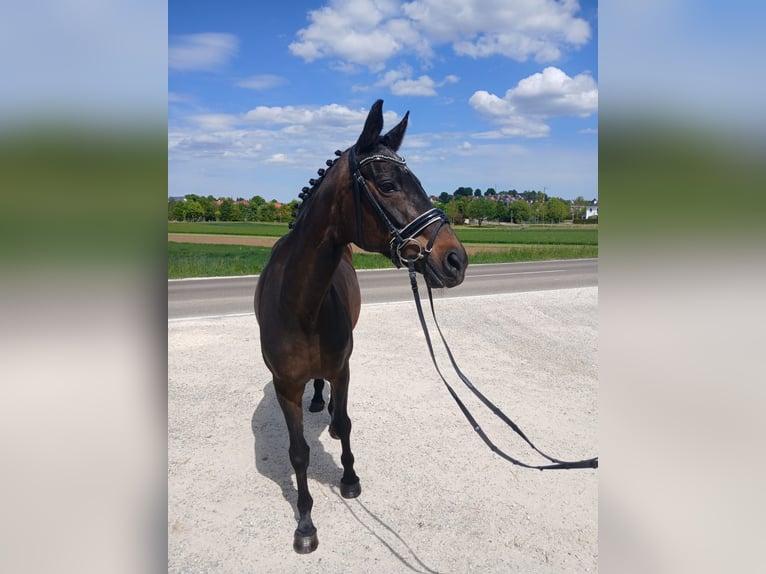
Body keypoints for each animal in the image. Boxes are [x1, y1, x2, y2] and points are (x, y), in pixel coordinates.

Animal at [254, 99, 468, 554]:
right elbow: (298, 452)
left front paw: (350, 478)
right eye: (387, 184)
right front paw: (305, 524)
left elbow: (349, 422)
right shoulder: (285, 387)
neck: (301, 305)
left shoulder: (343, 368)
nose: (456, 260)